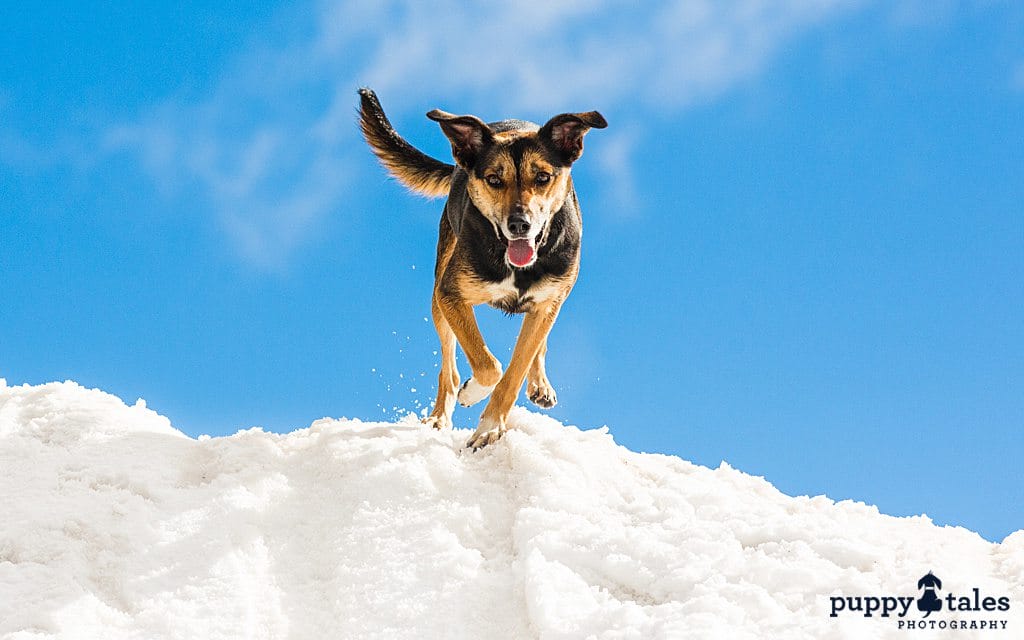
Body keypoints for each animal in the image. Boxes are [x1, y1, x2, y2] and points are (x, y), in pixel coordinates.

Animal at [358, 87, 602, 448]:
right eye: (494, 180)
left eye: (543, 177)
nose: (519, 225)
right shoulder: (451, 295)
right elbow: (489, 365)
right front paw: (472, 394)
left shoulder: (548, 302)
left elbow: (515, 370)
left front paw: (489, 427)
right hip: (438, 298)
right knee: (448, 367)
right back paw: (440, 415)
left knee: (537, 342)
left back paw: (539, 384)